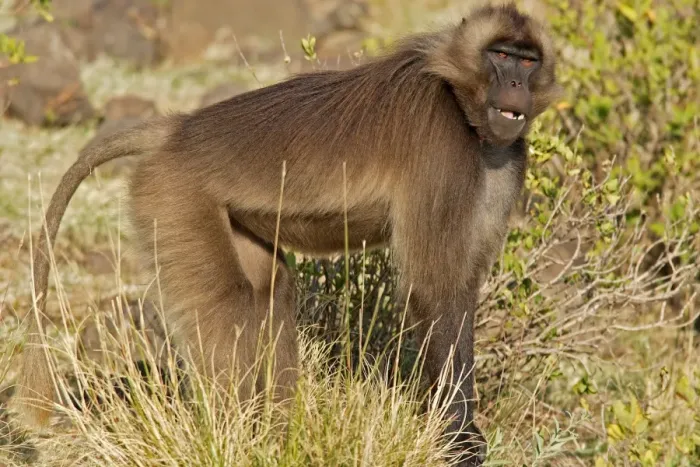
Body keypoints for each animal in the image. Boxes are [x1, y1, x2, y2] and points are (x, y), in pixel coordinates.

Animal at [13, 3, 560, 465]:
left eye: (528, 60)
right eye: (500, 55)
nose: (515, 82)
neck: (463, 107)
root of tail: (176, 129)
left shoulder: (503, 158)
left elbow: (461, 290)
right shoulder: (440, 146)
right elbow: (434, 291)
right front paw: (460, 440)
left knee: (271, 290)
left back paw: (276, 433)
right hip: (175, 197)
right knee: (228, 302)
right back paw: (235, 437)